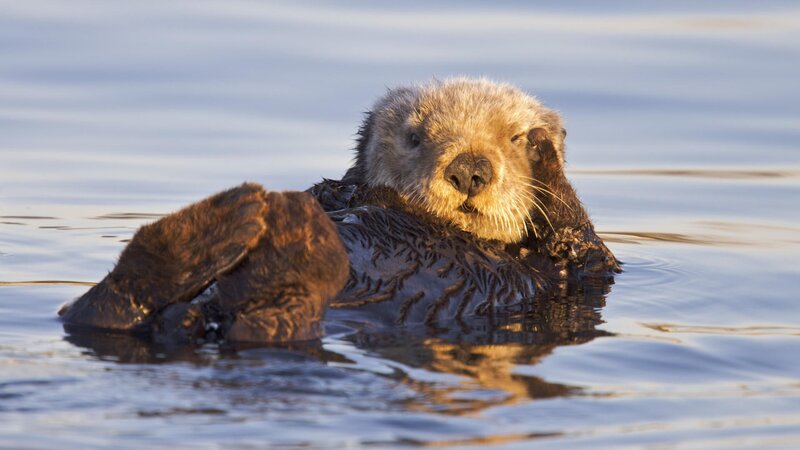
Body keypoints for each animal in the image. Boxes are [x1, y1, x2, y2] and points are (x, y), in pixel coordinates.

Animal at [59, 78, 619, 344]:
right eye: (416, 137)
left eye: (513, 138)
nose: (469, 169)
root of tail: (197, 317)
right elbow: (335, 191)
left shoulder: (579, 272)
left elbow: (581, 239)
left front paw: (545, 150)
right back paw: (242, 219)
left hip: (282, 317)